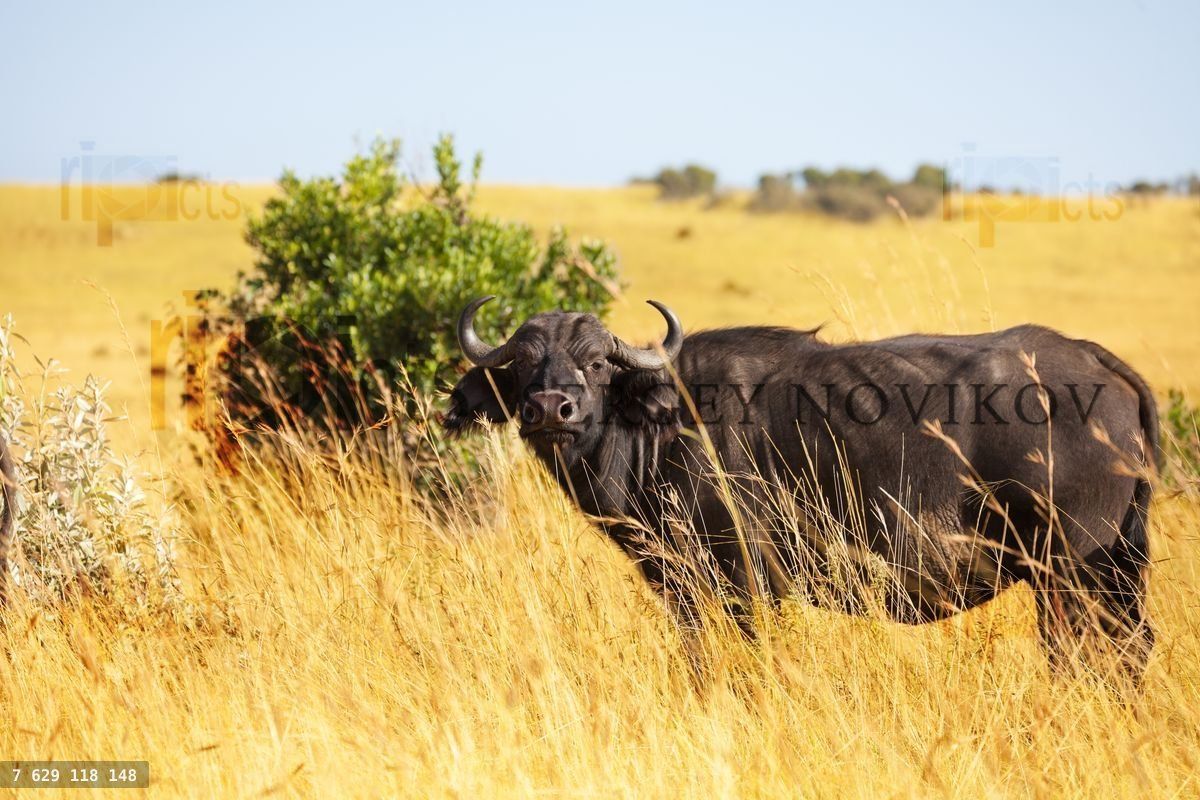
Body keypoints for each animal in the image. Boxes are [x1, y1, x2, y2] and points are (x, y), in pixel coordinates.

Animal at [444, 296, 1158, 684]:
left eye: (595, 362)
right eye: (523, 364)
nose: (550, 408)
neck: (667, 423)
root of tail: (1092, 360)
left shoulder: (747, 579)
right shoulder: (681, 588)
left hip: (1066, 573)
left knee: (1077, 653)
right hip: (1114, 570)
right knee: (1133, 646)